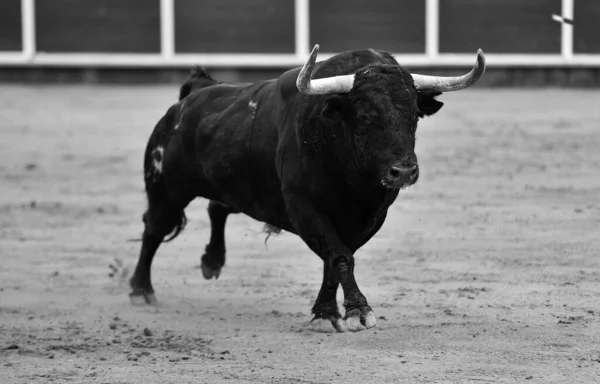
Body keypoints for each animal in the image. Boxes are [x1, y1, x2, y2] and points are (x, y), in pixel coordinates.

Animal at [129, 45, 486, 332]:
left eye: (414, 114)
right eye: (364, 115)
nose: (404, 172)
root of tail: (192, 96)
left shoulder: (371, 218)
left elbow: (336, 260)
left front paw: (325, 312)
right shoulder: (304, 209)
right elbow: (340, 257)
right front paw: (357, 311)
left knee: (217, 207)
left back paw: (212, 261)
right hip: (165, 189)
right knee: (154, 228)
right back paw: (141, 290)